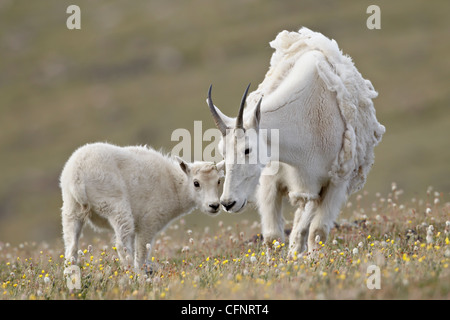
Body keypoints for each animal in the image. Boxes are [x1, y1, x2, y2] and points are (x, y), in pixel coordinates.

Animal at [59, 141, 225, 268]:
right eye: (196, 183)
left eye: (218, 181)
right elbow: (141, 253)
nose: (214, 206)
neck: (175, 186)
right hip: (114, 204)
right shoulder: (148, 222)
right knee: (122, 245)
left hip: (71, 208)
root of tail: (77, 176)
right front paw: (142, 275)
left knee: (71, 248)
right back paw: (132, 274)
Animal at [206, 27, 384, 258]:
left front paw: (316, 262)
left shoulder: (335, 182)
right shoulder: (270, 181)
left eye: (247, 149)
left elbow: (317, 232)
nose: (228, 203)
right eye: (222, 152)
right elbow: (273, 236)